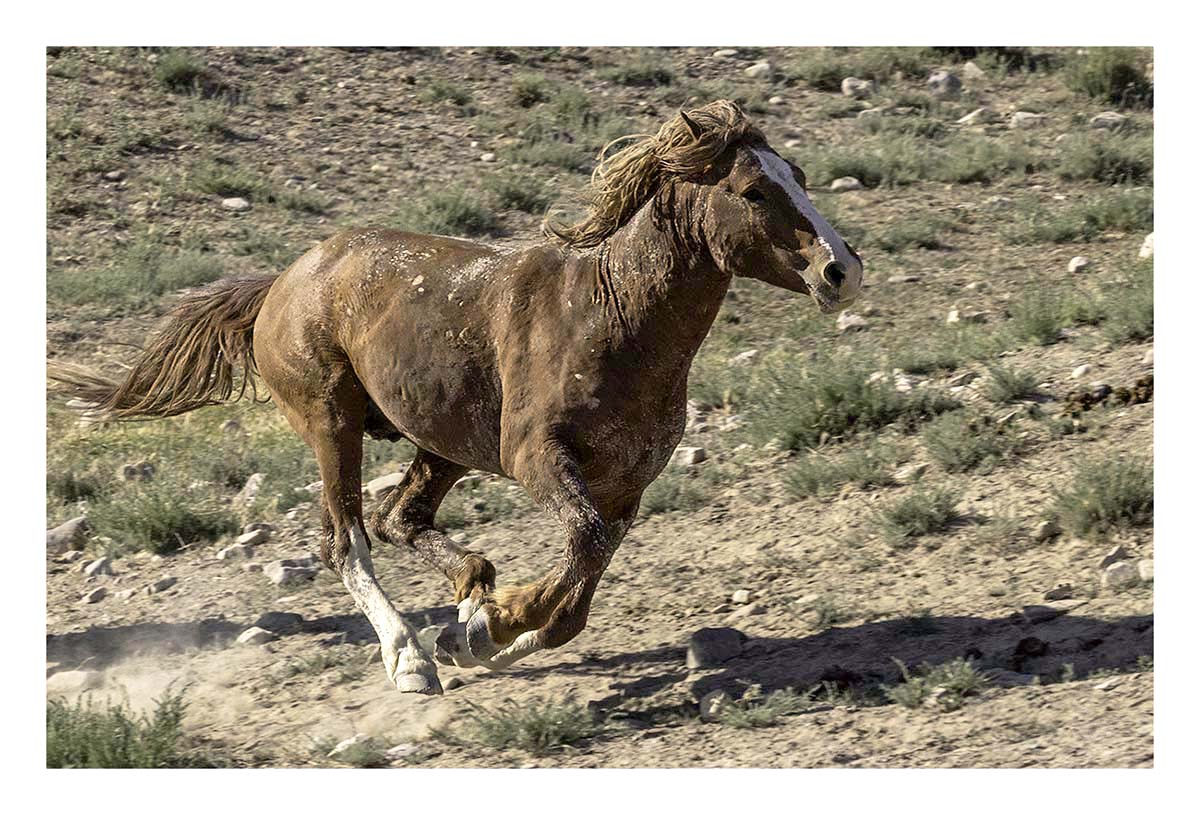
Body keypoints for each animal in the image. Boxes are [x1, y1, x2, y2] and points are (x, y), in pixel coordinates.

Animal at [50, 100, 864, 695]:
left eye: (797, 173)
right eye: (752, 190)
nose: (842, 269)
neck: (611, 316)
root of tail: (281, 283)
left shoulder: (627, 484)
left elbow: (583, 583)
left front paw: (485, 631)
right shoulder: (538, 459)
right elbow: (581, 546)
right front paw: (491, 625)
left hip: (440, 443)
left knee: (400, 517)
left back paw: (468, 590)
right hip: (331, 422)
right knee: (348, 538)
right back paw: (410, 657)